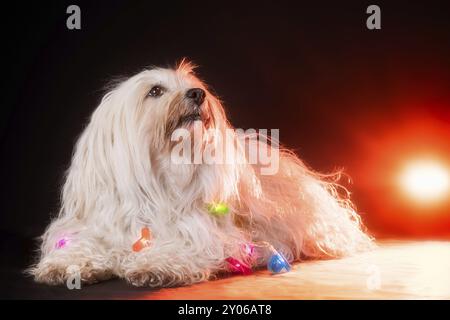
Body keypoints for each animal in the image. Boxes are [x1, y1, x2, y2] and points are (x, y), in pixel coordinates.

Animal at [30, 60, 372, 288]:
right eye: (155, 90)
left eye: (195, 87)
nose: (197, 94)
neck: (161, 179)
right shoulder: (103, 223)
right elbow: (84, 243)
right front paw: (68, 263)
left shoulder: (203, 233)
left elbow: (182, 247)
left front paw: (155, 264)